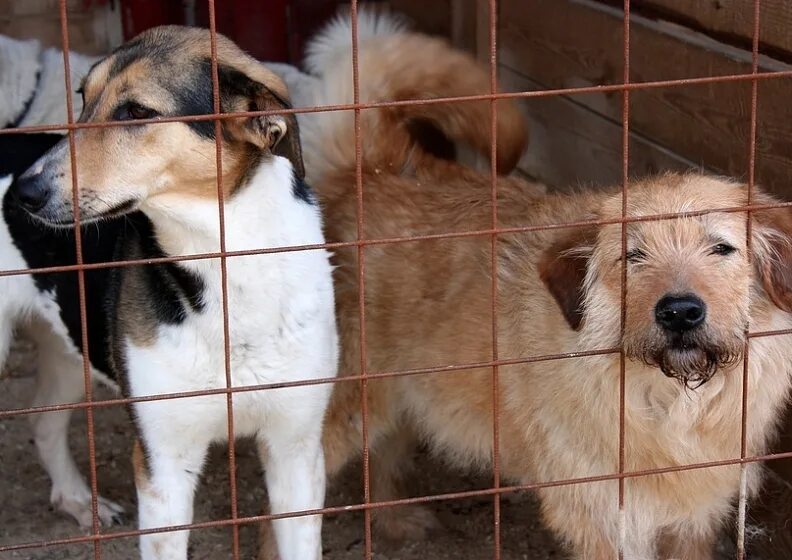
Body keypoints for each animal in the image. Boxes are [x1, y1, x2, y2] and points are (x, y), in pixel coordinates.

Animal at [10, 27, 338, 560]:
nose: (22, 194)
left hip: (70, 343)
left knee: (44, 421)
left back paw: (79, 501)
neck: (224, 260)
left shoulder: (296, 450)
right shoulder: (163, 466)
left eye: (137, 112)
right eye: (83, 97)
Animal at [264, 13, 792, 560]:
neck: (668, 406)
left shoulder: (693, 521)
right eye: (633, 255)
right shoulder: (603, 520)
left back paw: (392, 518)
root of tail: (371, 169)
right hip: (334, 414)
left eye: (722, 248)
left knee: (384, 452)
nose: (680, 311)